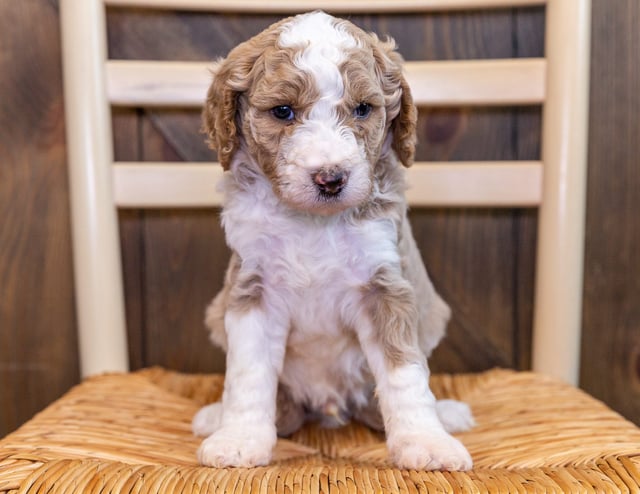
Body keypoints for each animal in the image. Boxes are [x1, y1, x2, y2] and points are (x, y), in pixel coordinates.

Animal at [192, 9, 472, 468]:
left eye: (363, 109)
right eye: (283, 111)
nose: (330, 178)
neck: (313, 222)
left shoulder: (385, 286)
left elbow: (405, 372)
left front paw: (426, 442)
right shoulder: (254, 289)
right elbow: (249, 372)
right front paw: (239, 438)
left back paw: (446, 415)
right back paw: (219, 416)